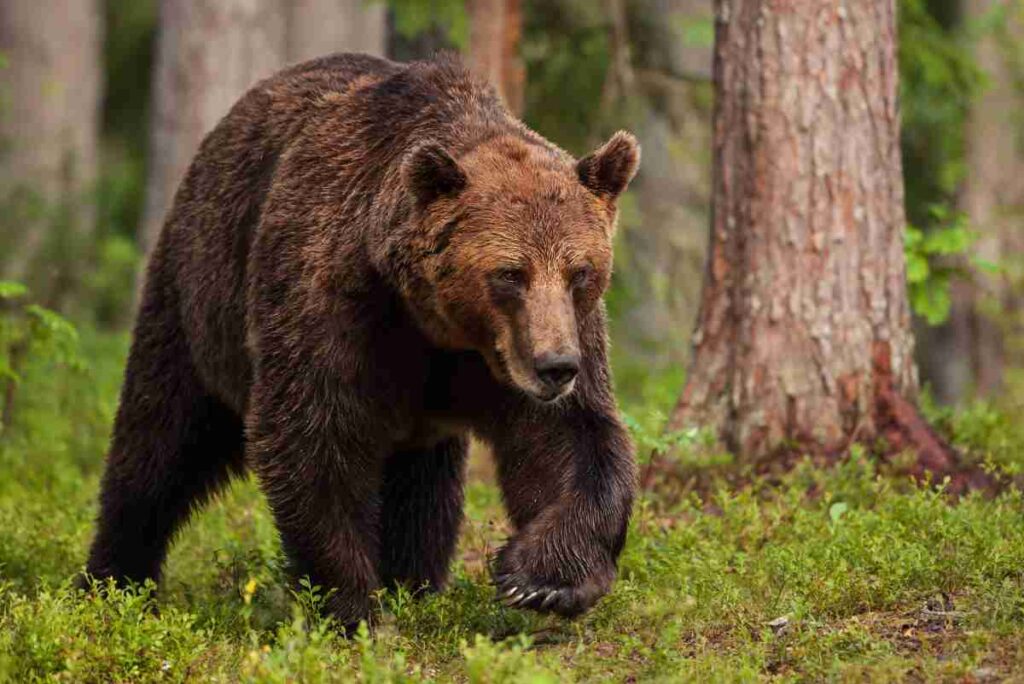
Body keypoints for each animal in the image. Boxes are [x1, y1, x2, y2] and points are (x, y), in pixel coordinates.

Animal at [83, 52, 639, 628]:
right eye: (510, 274)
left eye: (579, 272)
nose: (556, 366)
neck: (433, 323)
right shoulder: (334, 304)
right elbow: (311, 435)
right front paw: (351, 605)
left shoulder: (525, 351)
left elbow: (569, 438)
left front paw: (540, 580)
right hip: (200, 295)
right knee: (159, 441)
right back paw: (114, 581)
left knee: (425, 490)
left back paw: (414, 582)